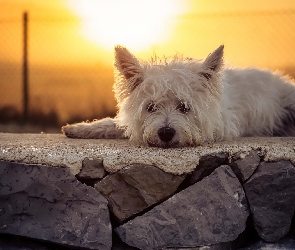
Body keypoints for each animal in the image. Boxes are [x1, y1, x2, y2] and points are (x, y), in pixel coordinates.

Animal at [62, 45, 295, 147]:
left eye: (184, 107)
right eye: (150, 107)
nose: (166, 133)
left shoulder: (225, 124)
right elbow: (115, 124)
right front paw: (80, 128)